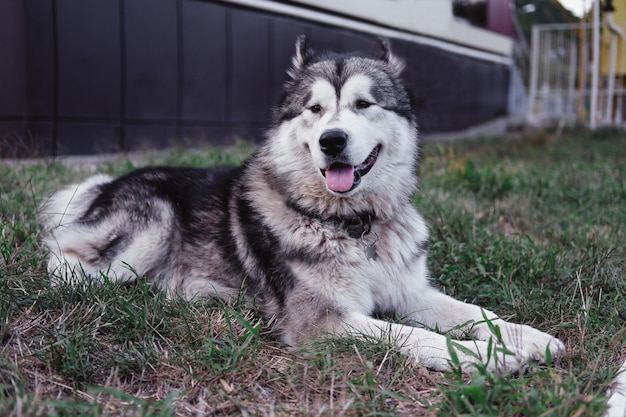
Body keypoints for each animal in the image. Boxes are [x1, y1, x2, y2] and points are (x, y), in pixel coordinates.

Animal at [40, 36, 564, 370]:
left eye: (365, 104)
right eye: (314, 108)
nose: (333, 141)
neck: (353, 224)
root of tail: (107, 184)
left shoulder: (409, 291)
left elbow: (475, 313)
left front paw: (528, 337)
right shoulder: (320, 320)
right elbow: (411, 335)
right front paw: (482, 358)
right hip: (150, 227)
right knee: (63, 261)